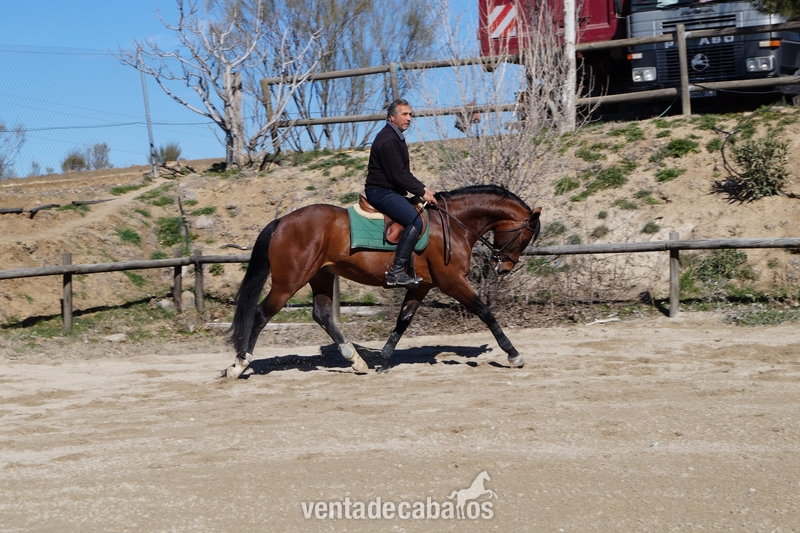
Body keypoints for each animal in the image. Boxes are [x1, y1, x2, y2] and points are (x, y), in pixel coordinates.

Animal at [225, 184, 541, 379]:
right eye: (525, 236)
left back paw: (356, 361)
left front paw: (385, 360)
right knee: (261, 314)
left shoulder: (421, 285)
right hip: (288, 282)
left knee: (322, 315)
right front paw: (513, 354)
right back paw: (240, 364)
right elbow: (485, 312)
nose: (504, 267)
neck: (452, 223)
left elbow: (403, 321)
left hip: (321, 276)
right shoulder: (452, 281)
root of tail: (282, 221)